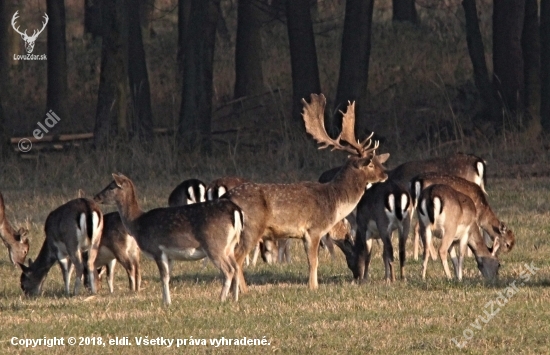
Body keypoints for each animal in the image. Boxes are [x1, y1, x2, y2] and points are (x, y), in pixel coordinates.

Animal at [95, 174, 244, 304]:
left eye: (111, 186)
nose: (96, 196)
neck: (138, 223)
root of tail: (235, 210)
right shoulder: (170, 255)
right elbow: (168, 277)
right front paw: (166, 301)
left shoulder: (157, 249)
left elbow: (163, 277)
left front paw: (166, 302)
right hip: (229, 246)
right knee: (236, 267)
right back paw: (235, 299)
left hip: (214, 245)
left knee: (228, 270)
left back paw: (221, 299)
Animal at [226, 93, 390, 294]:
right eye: (371, 164)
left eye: (379, 161)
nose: (385, 174)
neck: (334, 201)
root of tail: (228, 196)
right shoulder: (314, 229)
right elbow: (314, 261)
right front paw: (313, 287)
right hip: (251, 227)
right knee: (238, 256)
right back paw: (244, 290)